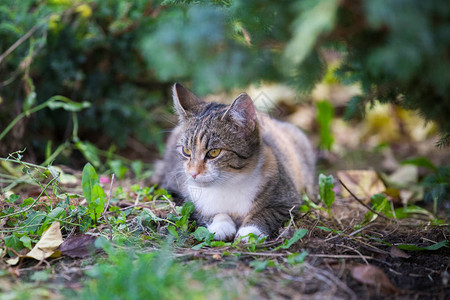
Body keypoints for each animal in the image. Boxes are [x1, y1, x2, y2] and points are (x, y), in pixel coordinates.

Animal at [155, 84, 316, 241]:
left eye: (214, 152)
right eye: (186, 151)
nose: (193, 173)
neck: (229, 183)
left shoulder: (287, 198)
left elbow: (268, 212)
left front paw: (250, 230)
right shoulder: (188, 198)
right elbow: (206, 212)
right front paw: (221, 225)